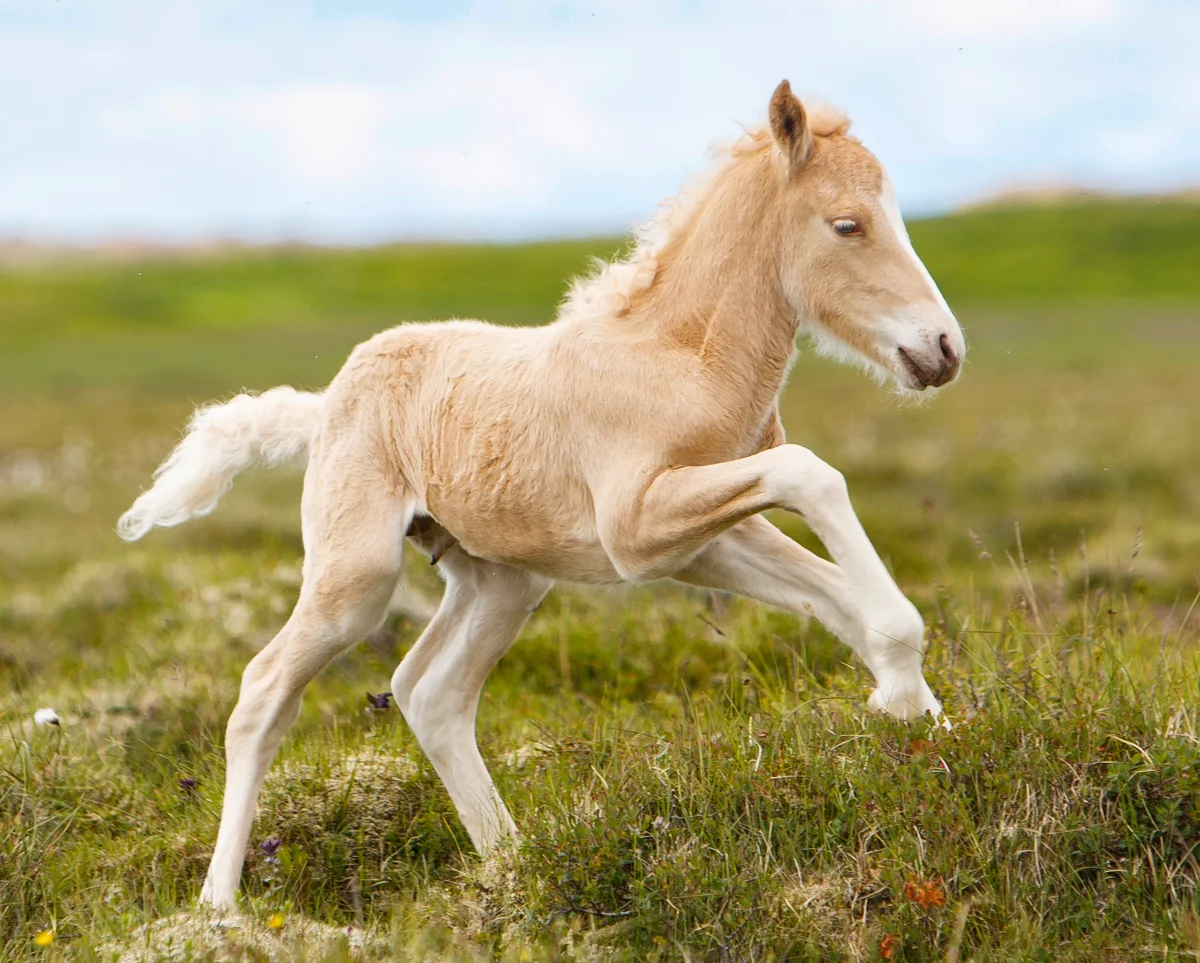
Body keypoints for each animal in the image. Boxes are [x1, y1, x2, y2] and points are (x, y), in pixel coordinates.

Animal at [118, 80, 965, 910]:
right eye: (847, 224)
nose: (944, 348)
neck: (683, 361)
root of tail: (325, 401)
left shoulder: (706, 540)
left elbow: (833, 594)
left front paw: (926, 726)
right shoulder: (639, 527)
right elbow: (813, 476)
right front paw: (907, 697)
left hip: (502, 580)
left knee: (430, 692)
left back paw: (513, 864)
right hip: (356, 576)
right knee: (265, 689)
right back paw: (220, 907)